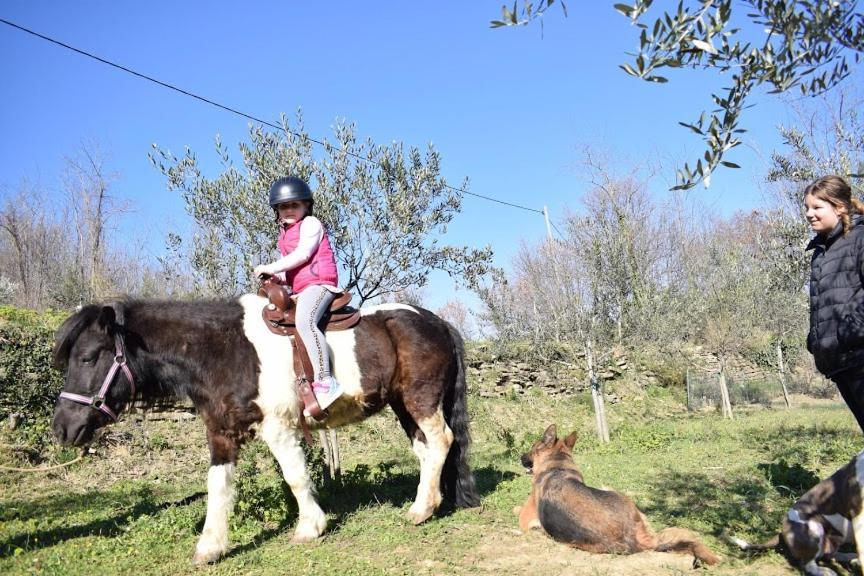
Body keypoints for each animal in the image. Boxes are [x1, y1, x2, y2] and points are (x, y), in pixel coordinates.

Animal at [51, 294, 480, 564]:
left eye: (88, 357)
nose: (61, 428)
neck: (224, 350)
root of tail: (438, 322)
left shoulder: (277, 427)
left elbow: (295, 476)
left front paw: (310, 527)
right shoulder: (221, 434)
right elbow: (219, 487)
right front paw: (210, 547)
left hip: (421, 400)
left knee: (442, 440)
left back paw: (420, 510)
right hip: (402, 405)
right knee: (427, 451)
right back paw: (429, 503)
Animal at [516, 424, 720, 568]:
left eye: (532, 447)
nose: (520, 457)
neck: (558, 466)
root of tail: (634, 539)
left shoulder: (524, 518)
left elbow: (517, 511)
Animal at [728, 450, 864, 576]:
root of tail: (782, 532)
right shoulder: (858, 515)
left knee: (829, 554)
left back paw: (850, 558)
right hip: (814, 527)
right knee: (807, 563)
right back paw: (824, 570)